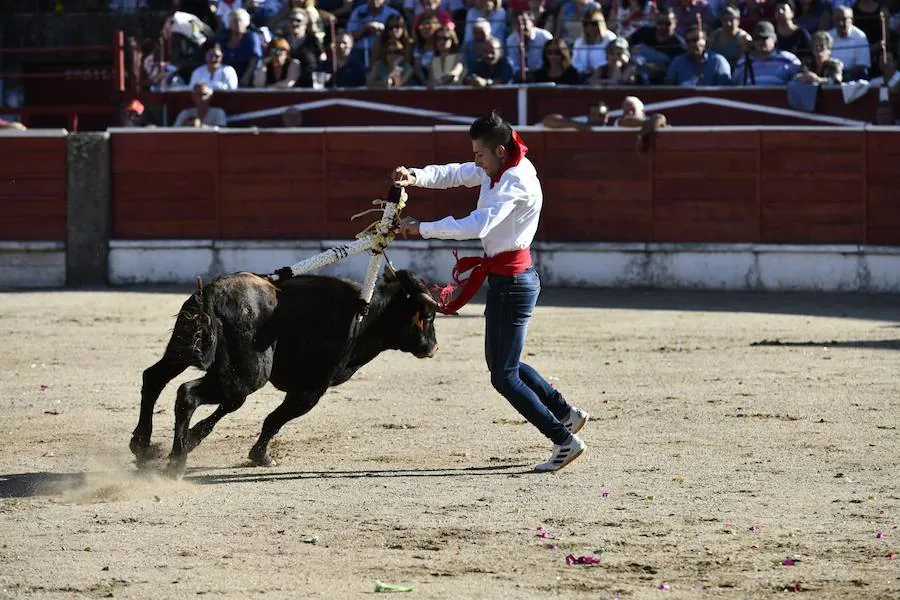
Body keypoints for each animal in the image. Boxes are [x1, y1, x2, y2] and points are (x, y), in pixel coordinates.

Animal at [133, 270, 440, 476]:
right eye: (427, 316)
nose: (433, 347)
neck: (366, 314)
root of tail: (211, 294)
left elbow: (231, 408)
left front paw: (194, 439)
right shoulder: (311, 389)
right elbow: (274, 419)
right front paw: (260, 456)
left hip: (184, 351)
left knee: (154, 378)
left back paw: (142, 444)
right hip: (249, 374)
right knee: (187, 393)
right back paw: (175, 463)